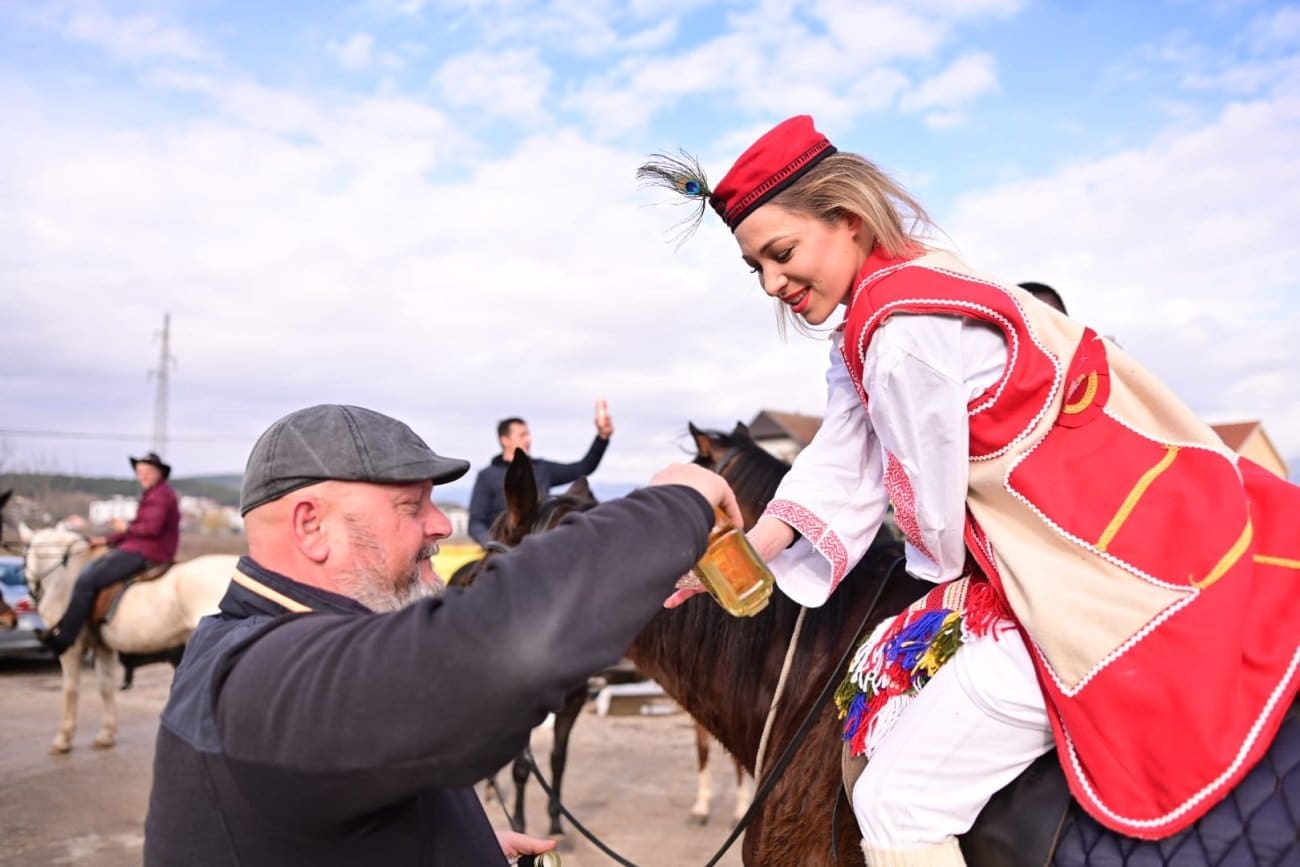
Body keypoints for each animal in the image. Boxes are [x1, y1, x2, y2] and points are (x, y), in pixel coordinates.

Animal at [21, 526, 236, 754]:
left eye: (24, 558)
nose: (32, 595)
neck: (68, 576)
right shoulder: (102, 648)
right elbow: (105, 687)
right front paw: (106, 734)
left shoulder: (72, 649)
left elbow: (70, 689)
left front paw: (63, 738)